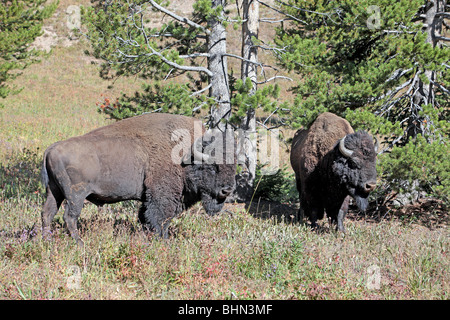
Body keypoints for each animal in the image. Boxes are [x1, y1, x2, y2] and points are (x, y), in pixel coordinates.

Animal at [41, 113, 237, 245]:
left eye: (234, 166)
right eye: (212, 167)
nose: (226, 190)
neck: (185, 155)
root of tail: (51, 148)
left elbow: (145, 218)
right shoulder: (162, 198)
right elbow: (160, 219)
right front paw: (164, 241)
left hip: (54, 192)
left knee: (47, 214)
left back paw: (45, 241)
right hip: (75, 196)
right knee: (69, 217)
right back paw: (79, 243)